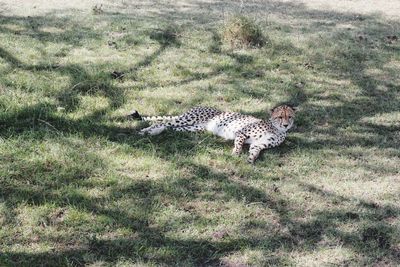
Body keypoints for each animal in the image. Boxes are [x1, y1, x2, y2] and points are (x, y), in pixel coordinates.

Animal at [134, 105, 296, 164]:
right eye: (280, 117)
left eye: (289, 117)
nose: (286, 125)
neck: (277, 129)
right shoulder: (241, 132)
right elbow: (239, 144)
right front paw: (235, 154)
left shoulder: (258, 144)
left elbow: (255, 151)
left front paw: (251, 159)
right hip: (188, 119)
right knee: (163, 122)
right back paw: (145, 131)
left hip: (193, 128)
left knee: (168, 128)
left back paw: (153, 132)